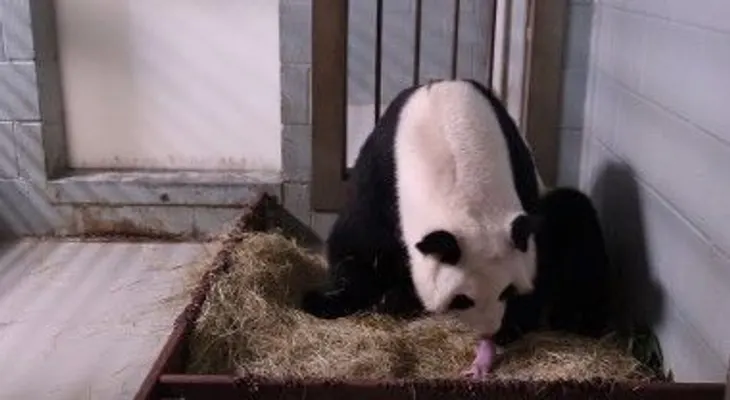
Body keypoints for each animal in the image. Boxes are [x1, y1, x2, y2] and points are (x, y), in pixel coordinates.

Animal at [301, 78, 544, 378]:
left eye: (507, 290)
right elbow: (358, 240)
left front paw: (514, 323)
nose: (489, 331)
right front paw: (333, 299)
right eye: (462, 299)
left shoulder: (518, 166)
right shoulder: (384, 168)